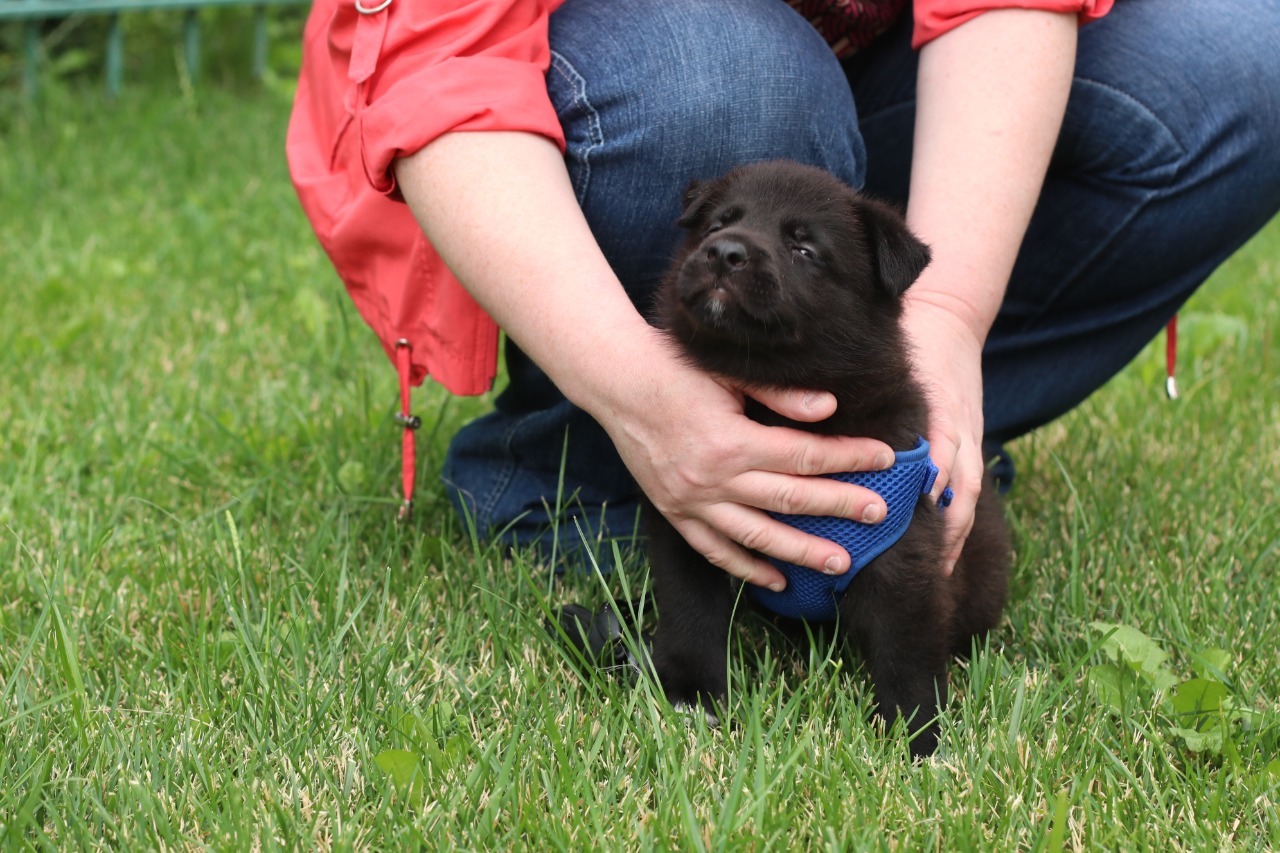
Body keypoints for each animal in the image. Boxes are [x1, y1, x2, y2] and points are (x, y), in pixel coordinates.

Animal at [650, 161, 1008, 758]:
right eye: (716, 224)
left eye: (804, 249)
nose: (724, 251)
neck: (777, 406)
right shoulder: (696, 524)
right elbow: (691, 613)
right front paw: (695, 699)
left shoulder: (903, 555)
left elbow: (907, 651)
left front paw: (918, 739)